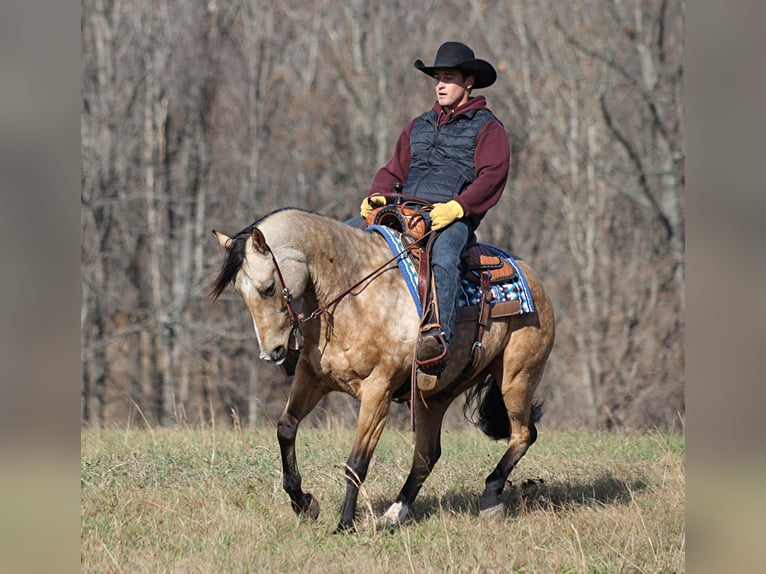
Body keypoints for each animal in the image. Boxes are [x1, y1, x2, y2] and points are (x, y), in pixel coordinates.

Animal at [213, 208, 556, 536]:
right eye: (240, 292)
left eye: (269, 288)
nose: (271, 352)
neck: (351, 295)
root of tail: (534, 280)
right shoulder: (312, 377)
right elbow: (285, 429)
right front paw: (304, 503)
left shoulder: (378, 390)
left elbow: (356, 462)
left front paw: (344, 525)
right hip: (436, 396)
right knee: (427, 456)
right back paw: (393, 515)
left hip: (517, 377)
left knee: (523, 434)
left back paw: (489, 497)